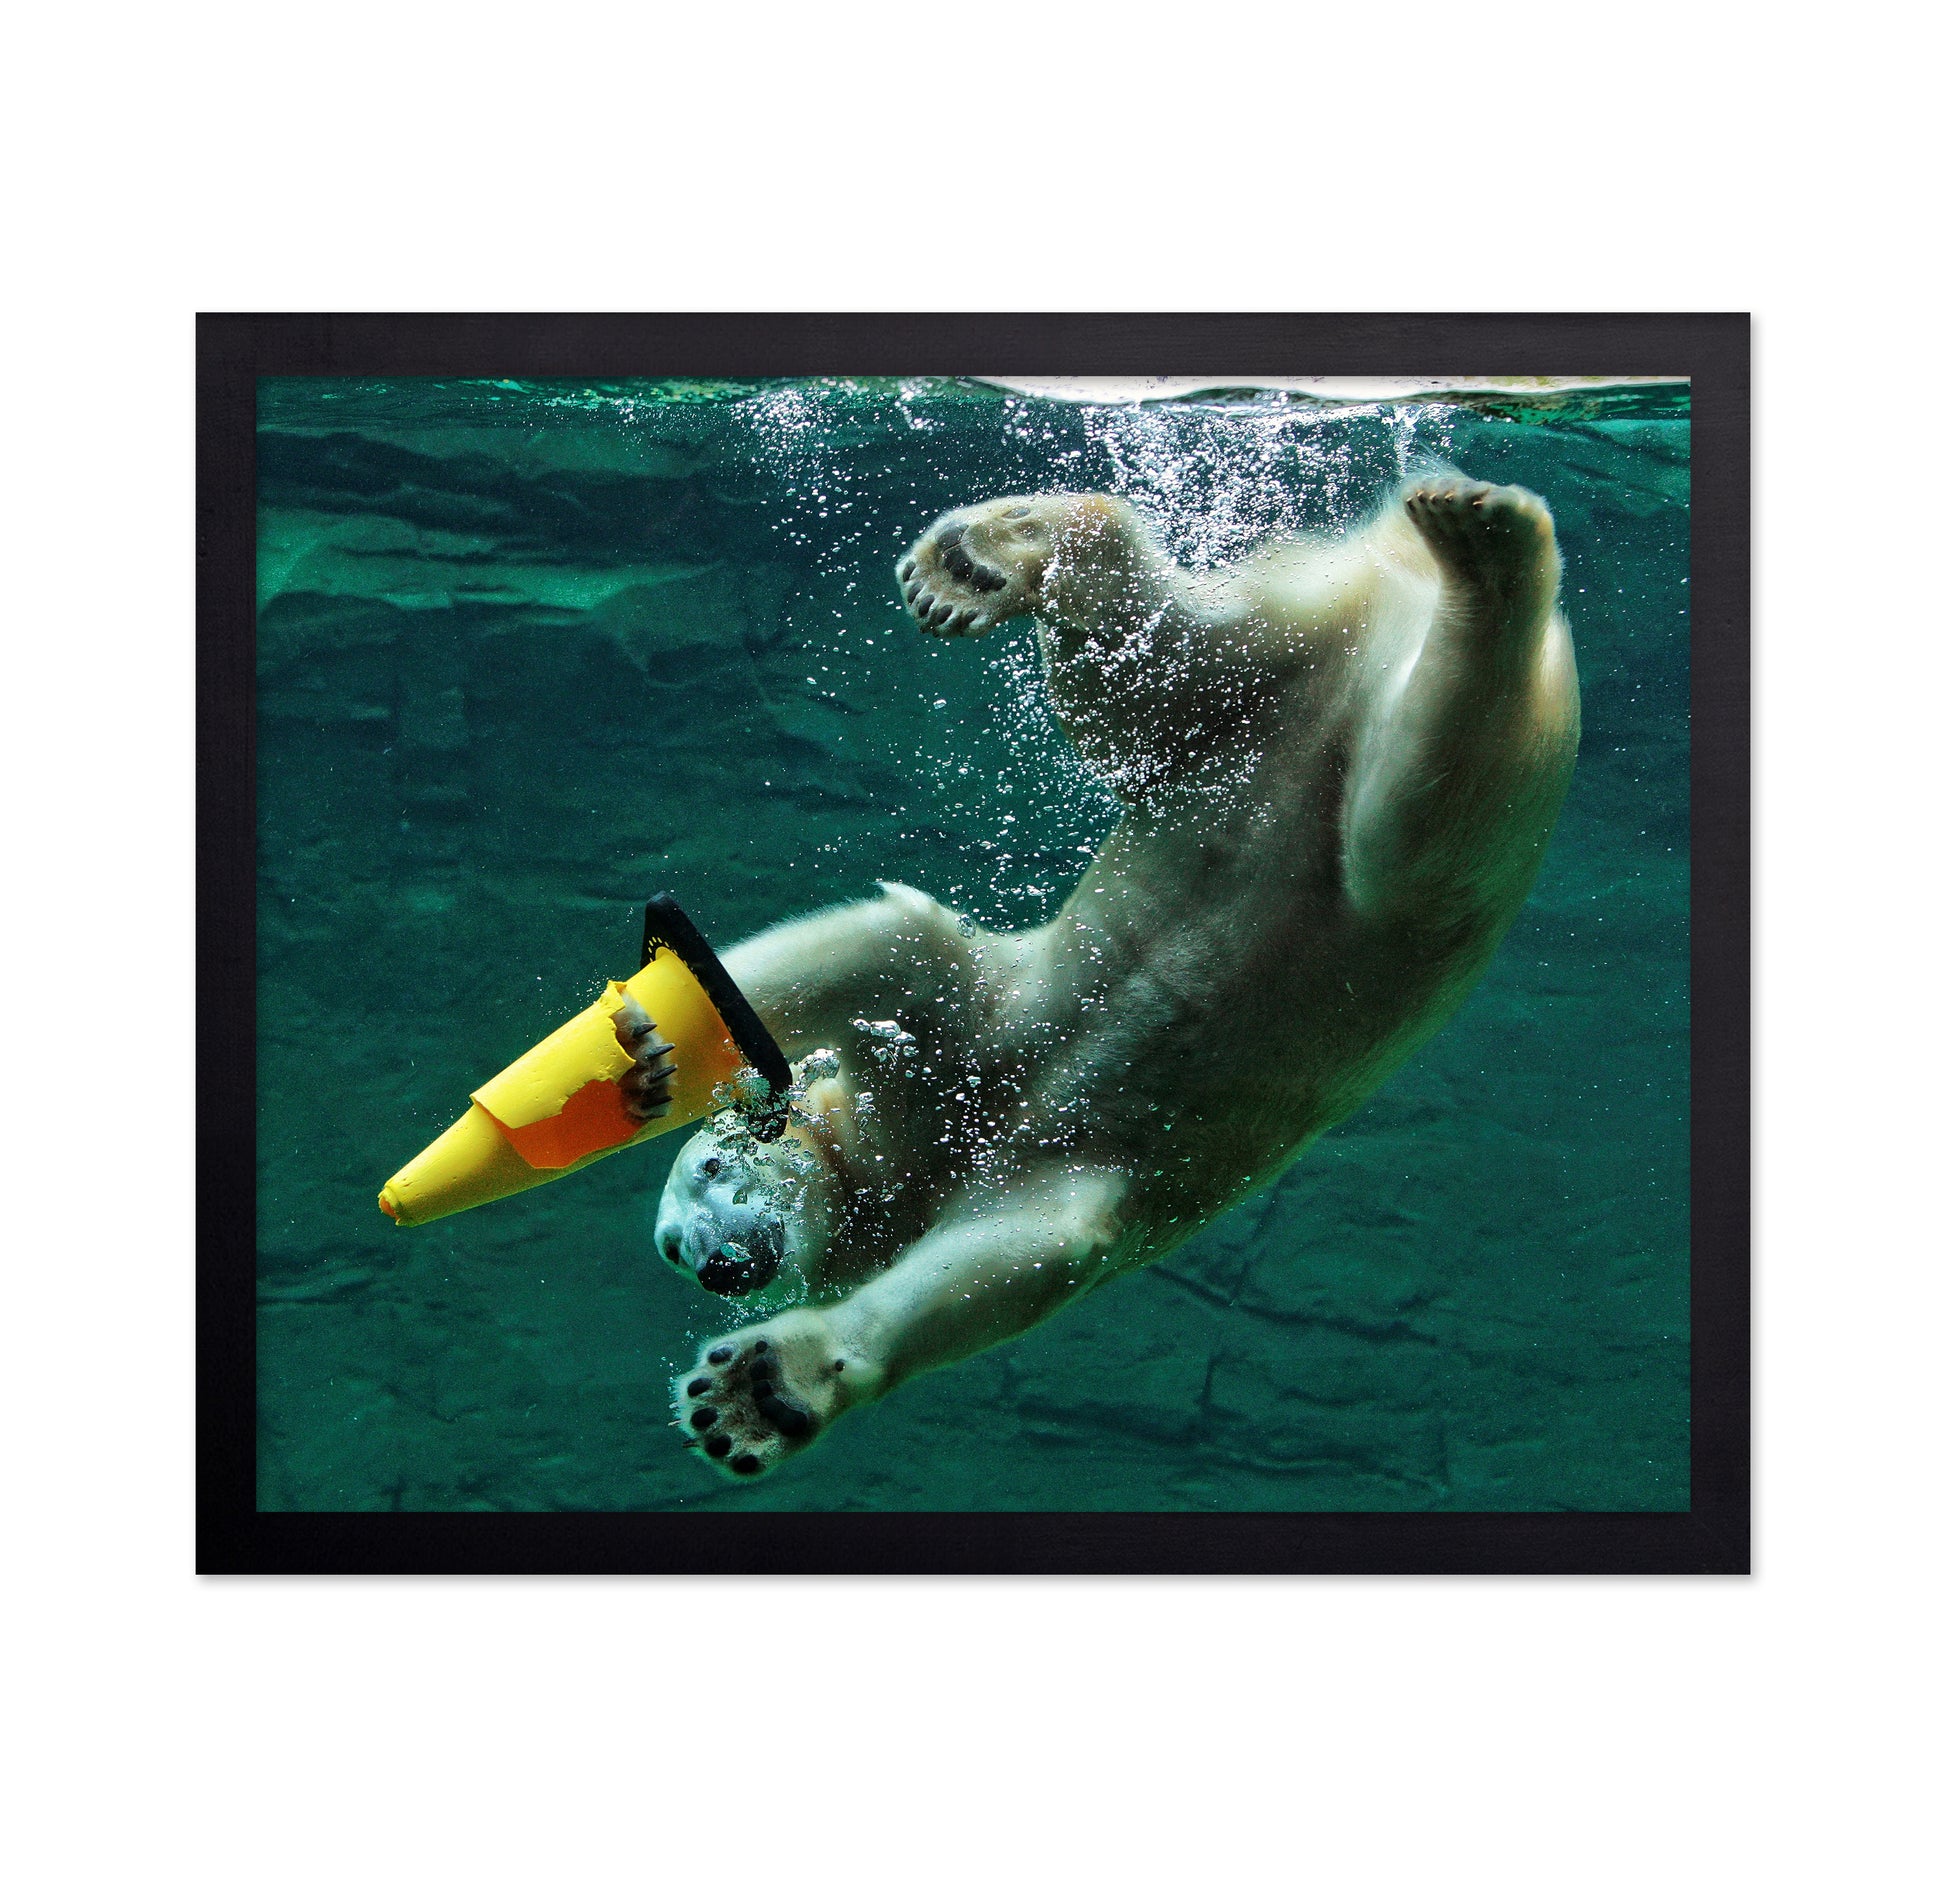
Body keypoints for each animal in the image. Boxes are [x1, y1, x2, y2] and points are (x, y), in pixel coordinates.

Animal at [629, 475, 1581, 1479]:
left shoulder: (948, 1035)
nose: (709, 1260)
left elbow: (891, 951)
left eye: (713, 1168)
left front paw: (760, 1386)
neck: (907, 1156)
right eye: (675, 1254)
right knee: (1172, 681)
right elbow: (1039, 1236)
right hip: (1255, 692)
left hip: (1327, 745)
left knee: (1411, 825)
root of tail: (1383, 601)